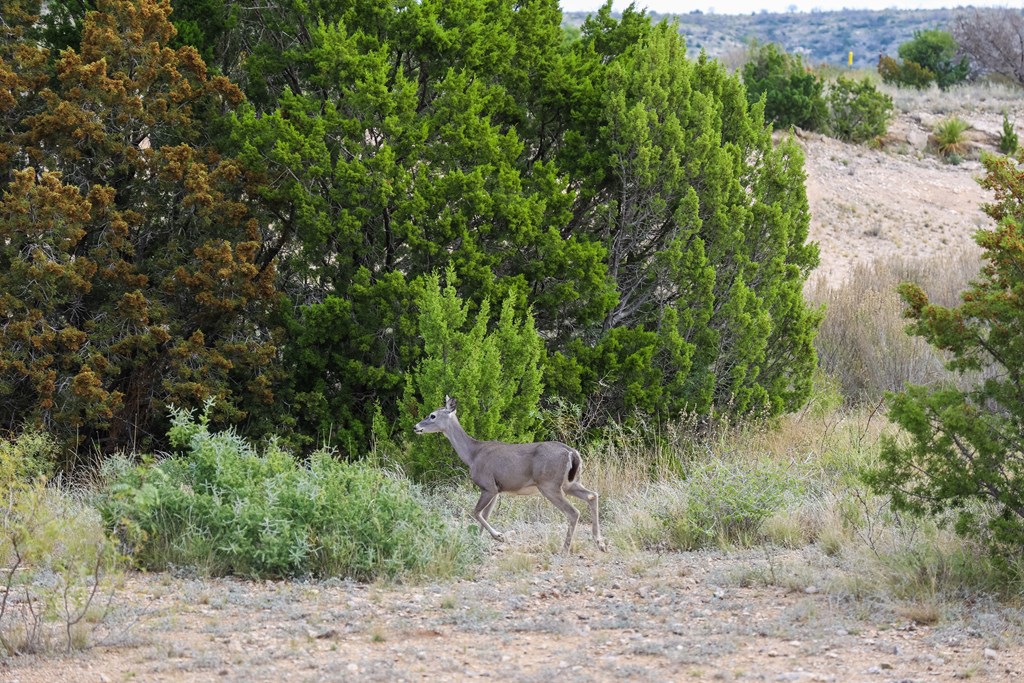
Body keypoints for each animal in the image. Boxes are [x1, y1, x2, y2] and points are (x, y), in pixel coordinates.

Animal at [411, 397, 602, 552]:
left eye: (432, 415)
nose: (415, 427)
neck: (472, 455)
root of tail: (572, 452)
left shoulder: (488, 485)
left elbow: (476, 512)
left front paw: (498, 536)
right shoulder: (496, 489)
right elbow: (484, 515)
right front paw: (478, 542)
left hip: (549, 485)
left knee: (573, 512)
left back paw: (565, 549)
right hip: (569, 483)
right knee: (592, 495)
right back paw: (600, 542)